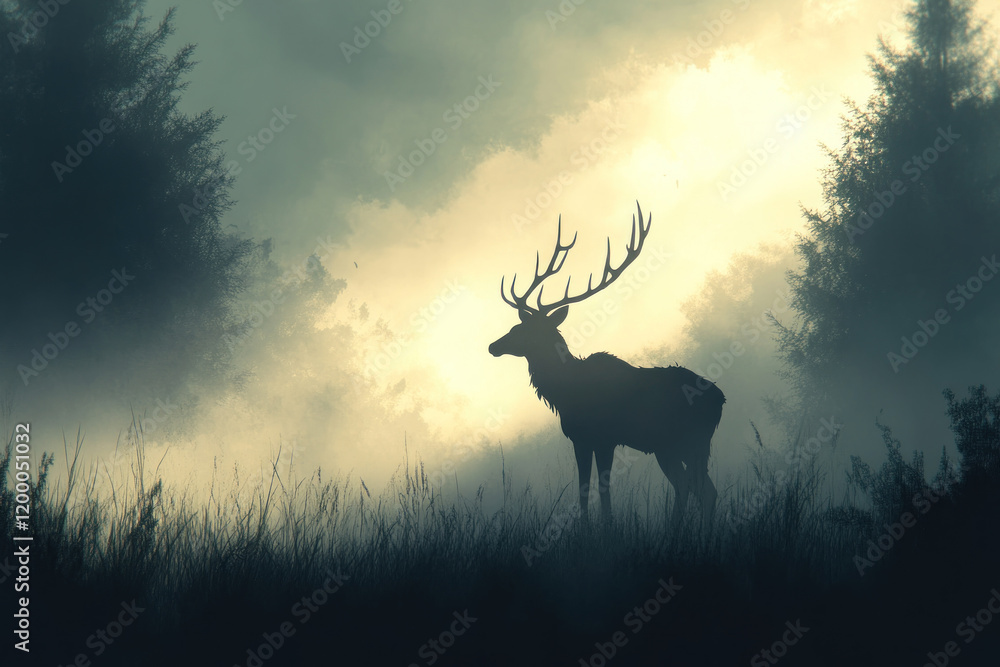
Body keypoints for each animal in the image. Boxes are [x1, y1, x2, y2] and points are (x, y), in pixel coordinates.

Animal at [488, 202, 725, 529]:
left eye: (523, 329)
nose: (493, 346)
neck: (565, 393)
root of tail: (721, 399)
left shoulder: (604, 438)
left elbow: (601, 489)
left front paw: (602, 527)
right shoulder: (581, 439)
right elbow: (584, 489)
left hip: (688, 440)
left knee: (697, 487)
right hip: (672, 447)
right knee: (697, 488)